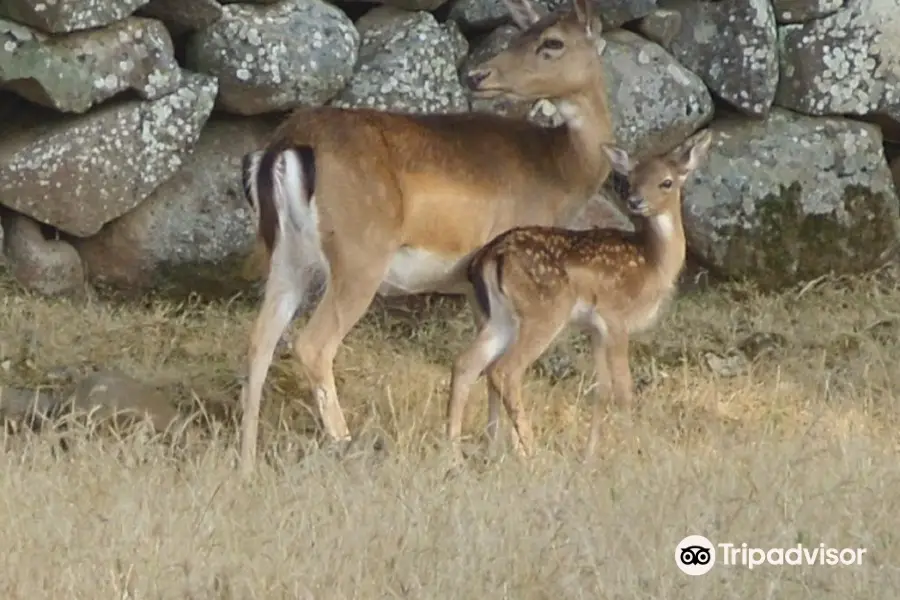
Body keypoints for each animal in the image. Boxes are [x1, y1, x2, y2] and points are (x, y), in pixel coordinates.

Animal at [239, 0, 616, 474]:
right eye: (531, 36)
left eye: (550, 41)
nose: (478, 75)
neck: (560, 176)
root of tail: (286, 145)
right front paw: (499, 452)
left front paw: (490, 449)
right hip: (359, 255)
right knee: (312, 344)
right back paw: (346, 445)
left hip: (285, 254)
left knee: (259, 339)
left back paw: (245, 460)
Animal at [446, 130, 712, 460]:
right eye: (631, 179)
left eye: (666, 182)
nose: (635, 201)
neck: (653, 263)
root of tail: (490, 255)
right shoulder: (616, 317)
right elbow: (624, 390)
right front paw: (634, 450)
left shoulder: (595, 329)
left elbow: (601, 390)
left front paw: (590, 455)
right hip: (544, 311)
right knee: (505, 370)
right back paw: (531, 451)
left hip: (500, 317)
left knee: (466, 364)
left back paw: (453, 451)